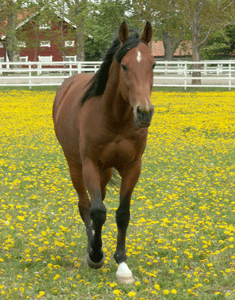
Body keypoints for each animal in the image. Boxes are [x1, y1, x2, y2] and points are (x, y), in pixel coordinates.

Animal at [53, 21, 156, 284]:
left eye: (153, 64)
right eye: (124, 66)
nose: (144, 112)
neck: (115, 118)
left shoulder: (132, 167)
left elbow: (122, 214)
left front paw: (122, 264)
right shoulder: (90, 164)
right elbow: (97, 211)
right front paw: (96, 255)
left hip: (106, 170)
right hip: (75, 165)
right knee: (85, 205)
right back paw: (92, 248)